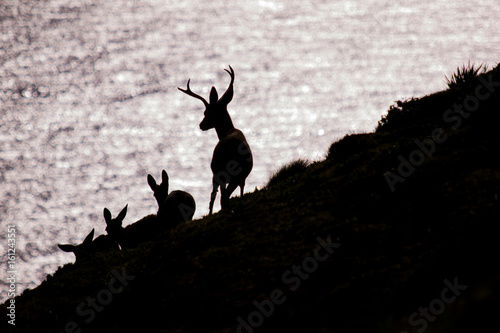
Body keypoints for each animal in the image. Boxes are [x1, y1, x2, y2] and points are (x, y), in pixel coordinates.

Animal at [178, 66, 252, 214]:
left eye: (206, 113)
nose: (201, 125)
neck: (227, 131)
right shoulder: (241, 177)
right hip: (226, 174)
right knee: (222, 196)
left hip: (221, 173)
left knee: (220, 197)